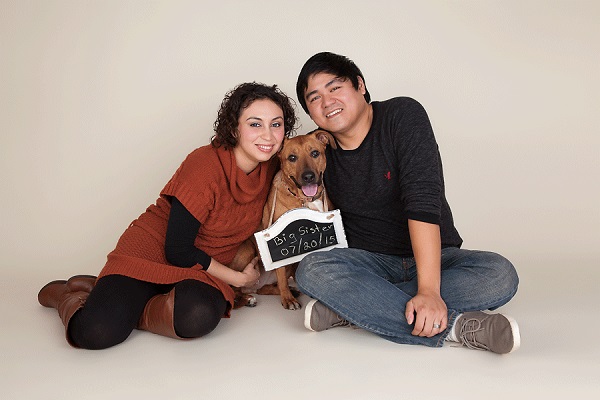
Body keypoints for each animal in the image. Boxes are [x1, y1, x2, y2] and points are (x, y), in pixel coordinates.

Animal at [227, 130, 336, 310]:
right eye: (292, 157)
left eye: (315, 153)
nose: (308, 176)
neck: (305, 200)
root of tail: (253, 287)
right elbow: (282, 277)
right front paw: (287, 299)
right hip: (247, 250)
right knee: (232, 290)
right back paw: (248, 299)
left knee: (264, 288)